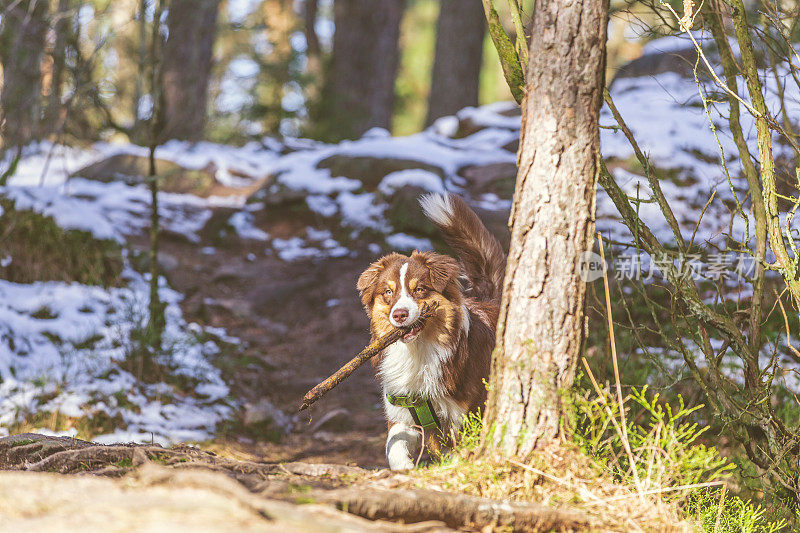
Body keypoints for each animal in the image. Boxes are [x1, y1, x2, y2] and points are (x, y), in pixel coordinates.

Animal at [358, 193, 504, 468]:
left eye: (419, 289)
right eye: (388, 292)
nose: (399, 314)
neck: (418, 350)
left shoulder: (466, 415)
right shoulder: (403, 411)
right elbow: (394, 444)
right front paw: (404, 469)